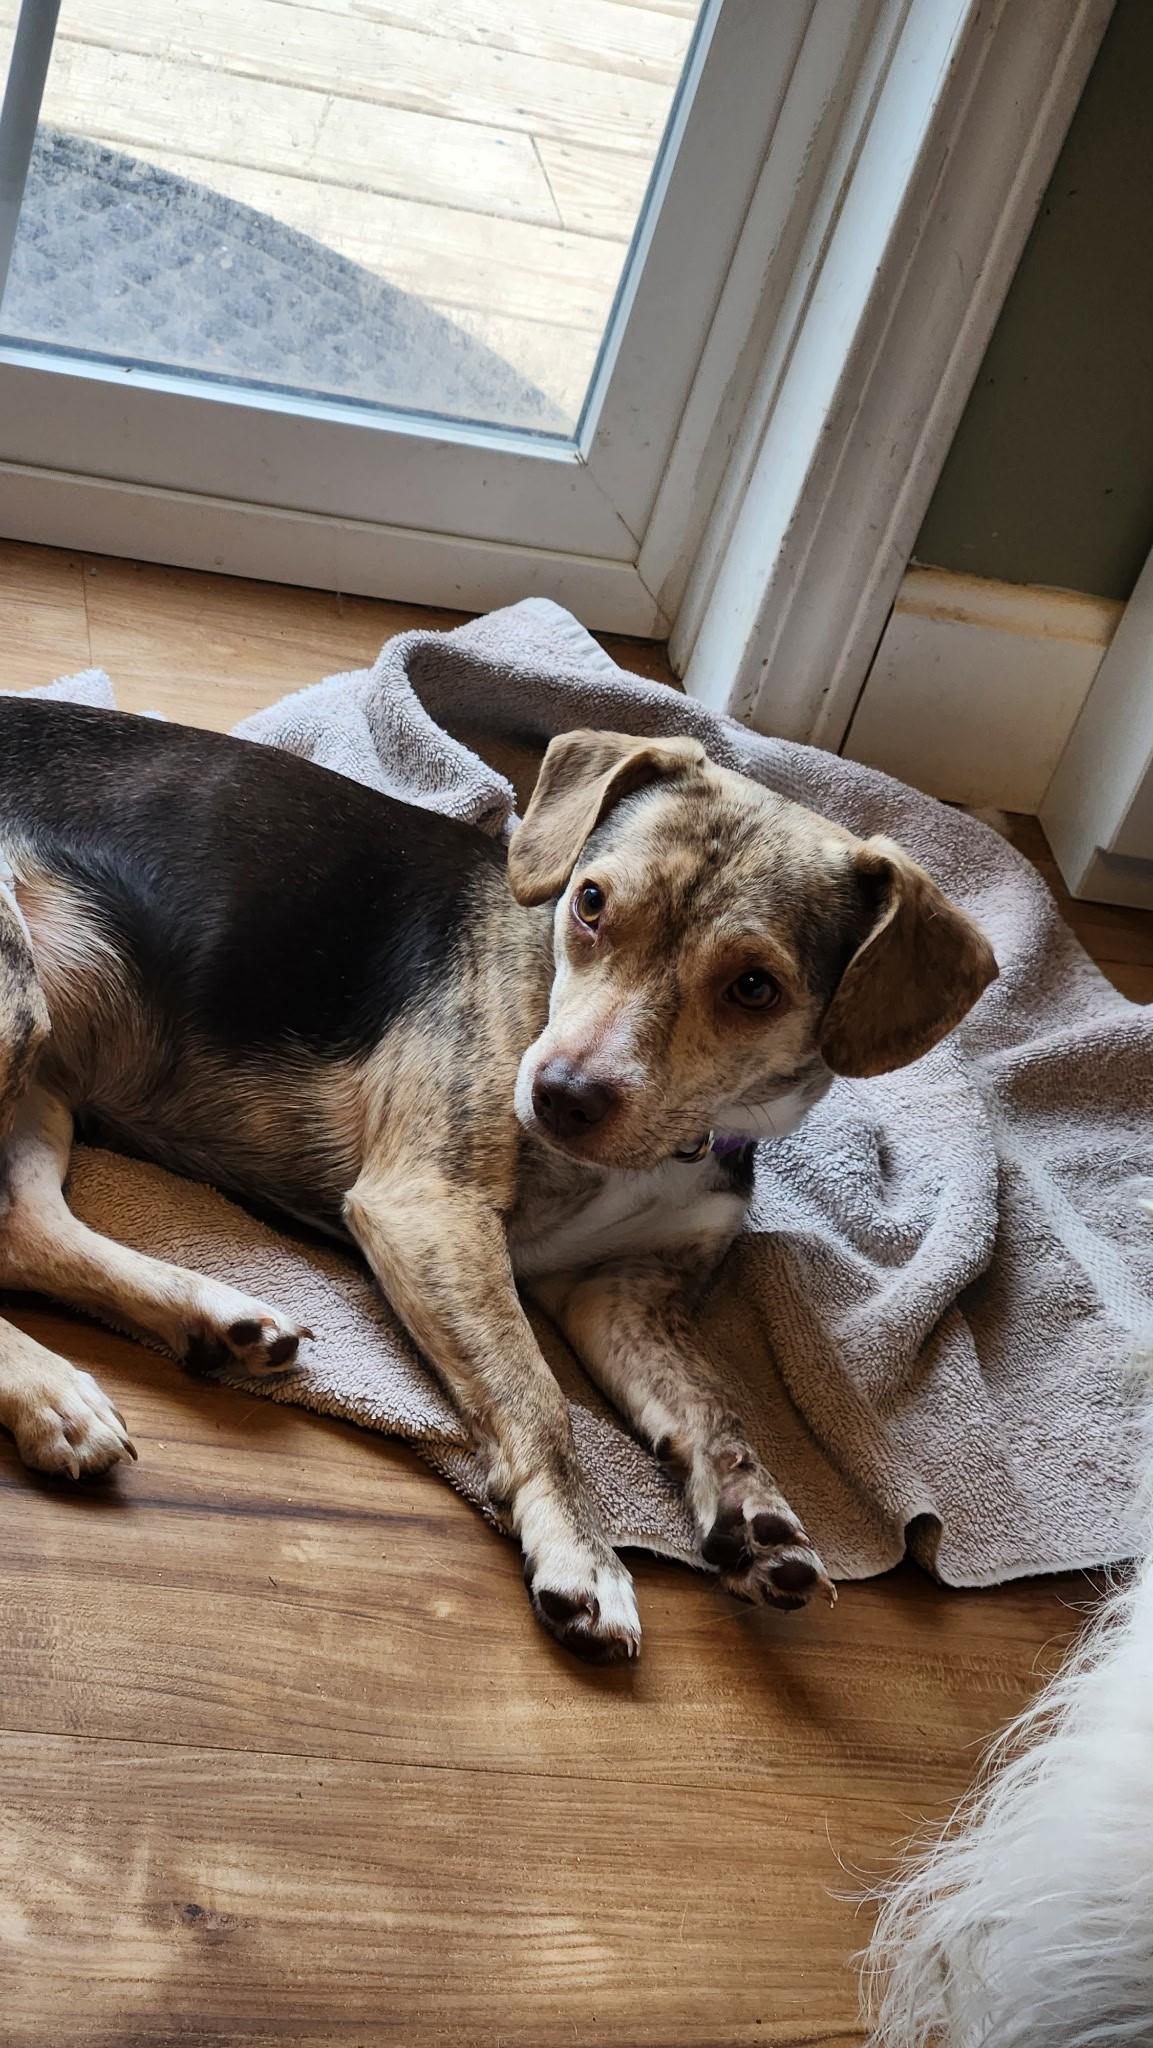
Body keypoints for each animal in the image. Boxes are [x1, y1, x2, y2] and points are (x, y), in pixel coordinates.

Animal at [0, 699, 996, 1661]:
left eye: (755, 988)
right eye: (589, 903)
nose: (559, 1096)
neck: (659, 1149)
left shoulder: (623, 1292)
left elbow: (714, 1409)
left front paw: (758, 1516)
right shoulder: (427, 1208)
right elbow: (538, 1400)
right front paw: (582, 1559)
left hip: (44, 1077)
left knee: (26, 1231)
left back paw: (211, 1318)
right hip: (19, 1004)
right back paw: (52, 1393)